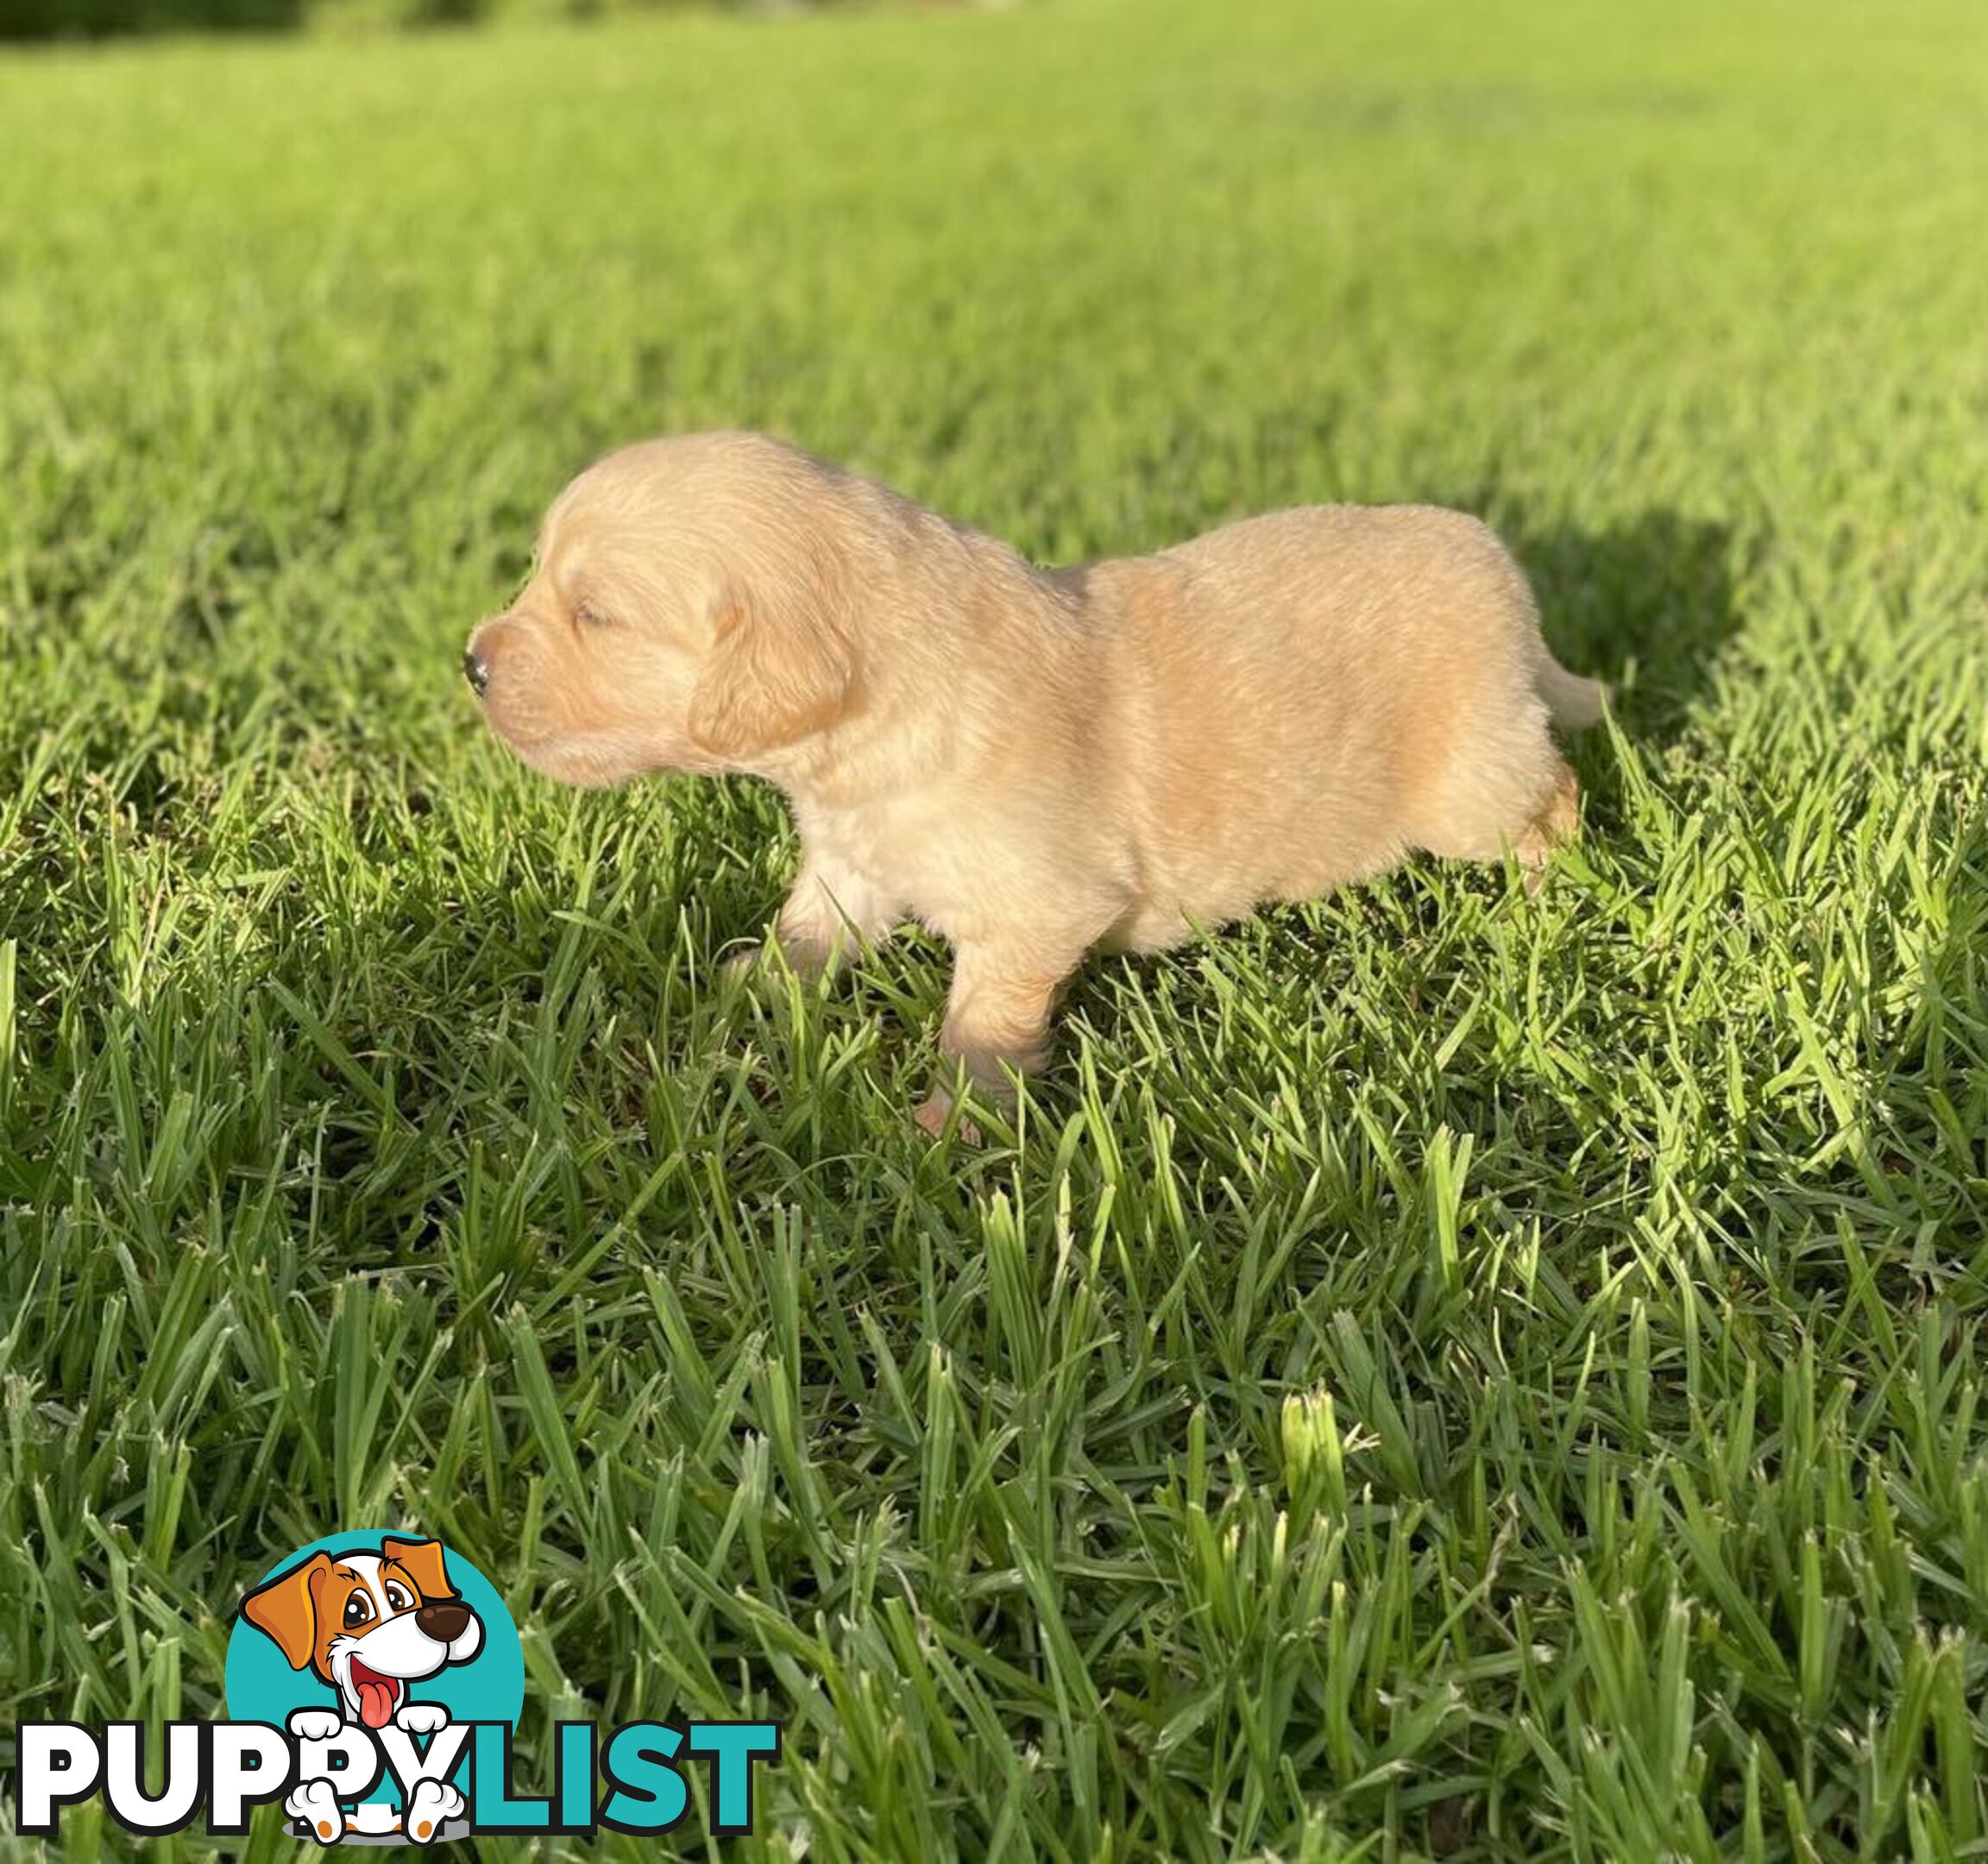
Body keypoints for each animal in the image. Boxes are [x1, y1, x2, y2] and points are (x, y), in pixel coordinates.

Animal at [465, 435, 1598, 1137]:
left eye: (596, 616)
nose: (470, 662)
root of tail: (1504, 570)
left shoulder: (1031, 914)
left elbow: (982, 1026)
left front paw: (946, 1130)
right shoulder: (851, 855)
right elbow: (812, 926)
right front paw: (762, 981)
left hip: (1467, 781)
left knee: (1558, 797)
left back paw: (1546, 898)